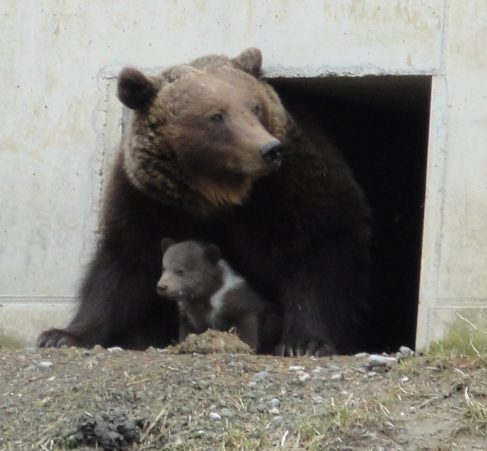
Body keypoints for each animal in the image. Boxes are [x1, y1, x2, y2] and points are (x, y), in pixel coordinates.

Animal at [38, 49, 374, 356]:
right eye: (216, 116)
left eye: (255, 107)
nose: (269, 149)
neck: (218, 194)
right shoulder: (150, 202)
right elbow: (123, 265)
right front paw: (62, 335)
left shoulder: (294, 188)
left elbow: (317, 254)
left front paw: (304, 343)